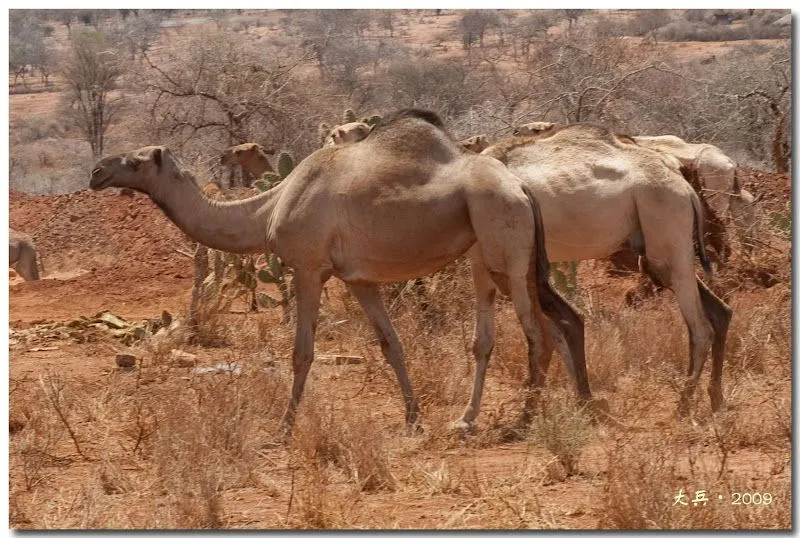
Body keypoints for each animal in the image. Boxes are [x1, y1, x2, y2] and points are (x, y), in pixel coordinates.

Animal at [92, 108, 592, 432]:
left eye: (135, 160)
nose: (97, 171)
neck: (268, 208)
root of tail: (523, 189)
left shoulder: (307, 267)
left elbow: (301, 351)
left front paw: (286, 425)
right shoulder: (360, 279)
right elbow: (392, 345)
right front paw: (413, 419)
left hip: (500, 237)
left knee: (536, 331)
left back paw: (523, 420)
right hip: (506, 259)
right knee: (558, 321)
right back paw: (570, 403)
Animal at [478, 123, 736, 416]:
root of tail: (686, 188)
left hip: (667, 224)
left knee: (700, 327)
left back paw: (683, 405)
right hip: (661, 251)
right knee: (719, 311)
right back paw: (716, 399)